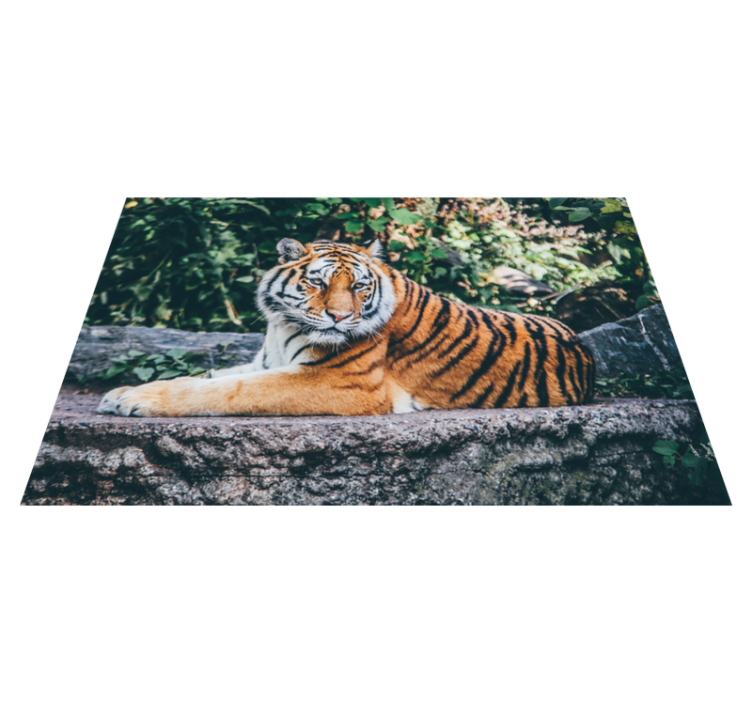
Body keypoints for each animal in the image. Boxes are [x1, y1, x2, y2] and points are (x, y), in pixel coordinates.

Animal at [97, 237, 596, 417]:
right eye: (318, 282)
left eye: (358, 286)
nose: (338, 317)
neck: (283, 327)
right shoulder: (266, 361)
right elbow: (208, 377)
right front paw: (123, 391)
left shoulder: (342, 382)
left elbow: (229, 391)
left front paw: (132, 400)